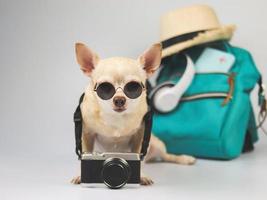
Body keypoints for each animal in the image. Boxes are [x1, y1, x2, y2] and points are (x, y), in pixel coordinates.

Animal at [71, 42, 197, 186]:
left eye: (133, 87)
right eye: (105, 88)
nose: (119, 99)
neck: (116, 118)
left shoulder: (139, 136)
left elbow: (137, 155)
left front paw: (141, 176)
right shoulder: (87, 134)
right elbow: (85, 153)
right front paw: (80, 176)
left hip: (158, 144)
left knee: (166, 156)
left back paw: (184, 158)